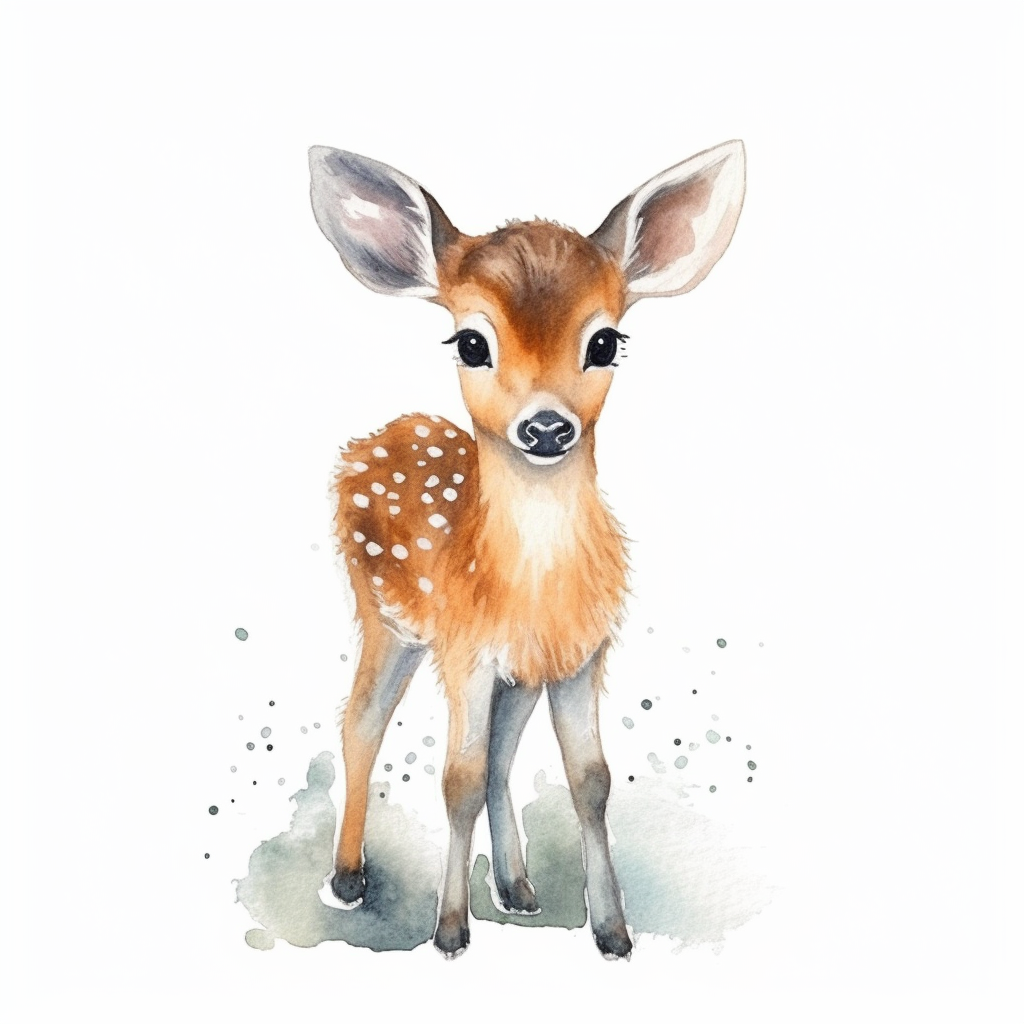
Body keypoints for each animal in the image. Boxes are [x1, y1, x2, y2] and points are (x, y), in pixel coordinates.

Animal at [308, 140, 745, 959]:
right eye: (470, 341)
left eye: (605, 341)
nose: (546, 427)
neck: (529, 585)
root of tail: (370, 439)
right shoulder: (465, 651)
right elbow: (455, 778)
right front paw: (450, 932)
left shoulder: (578, 655)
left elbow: (590, 778)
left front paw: (613, 933)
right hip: (383, 615)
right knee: (362, 723)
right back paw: (348, 880)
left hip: (515, 673)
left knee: (502, 758)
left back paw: (516, 887)